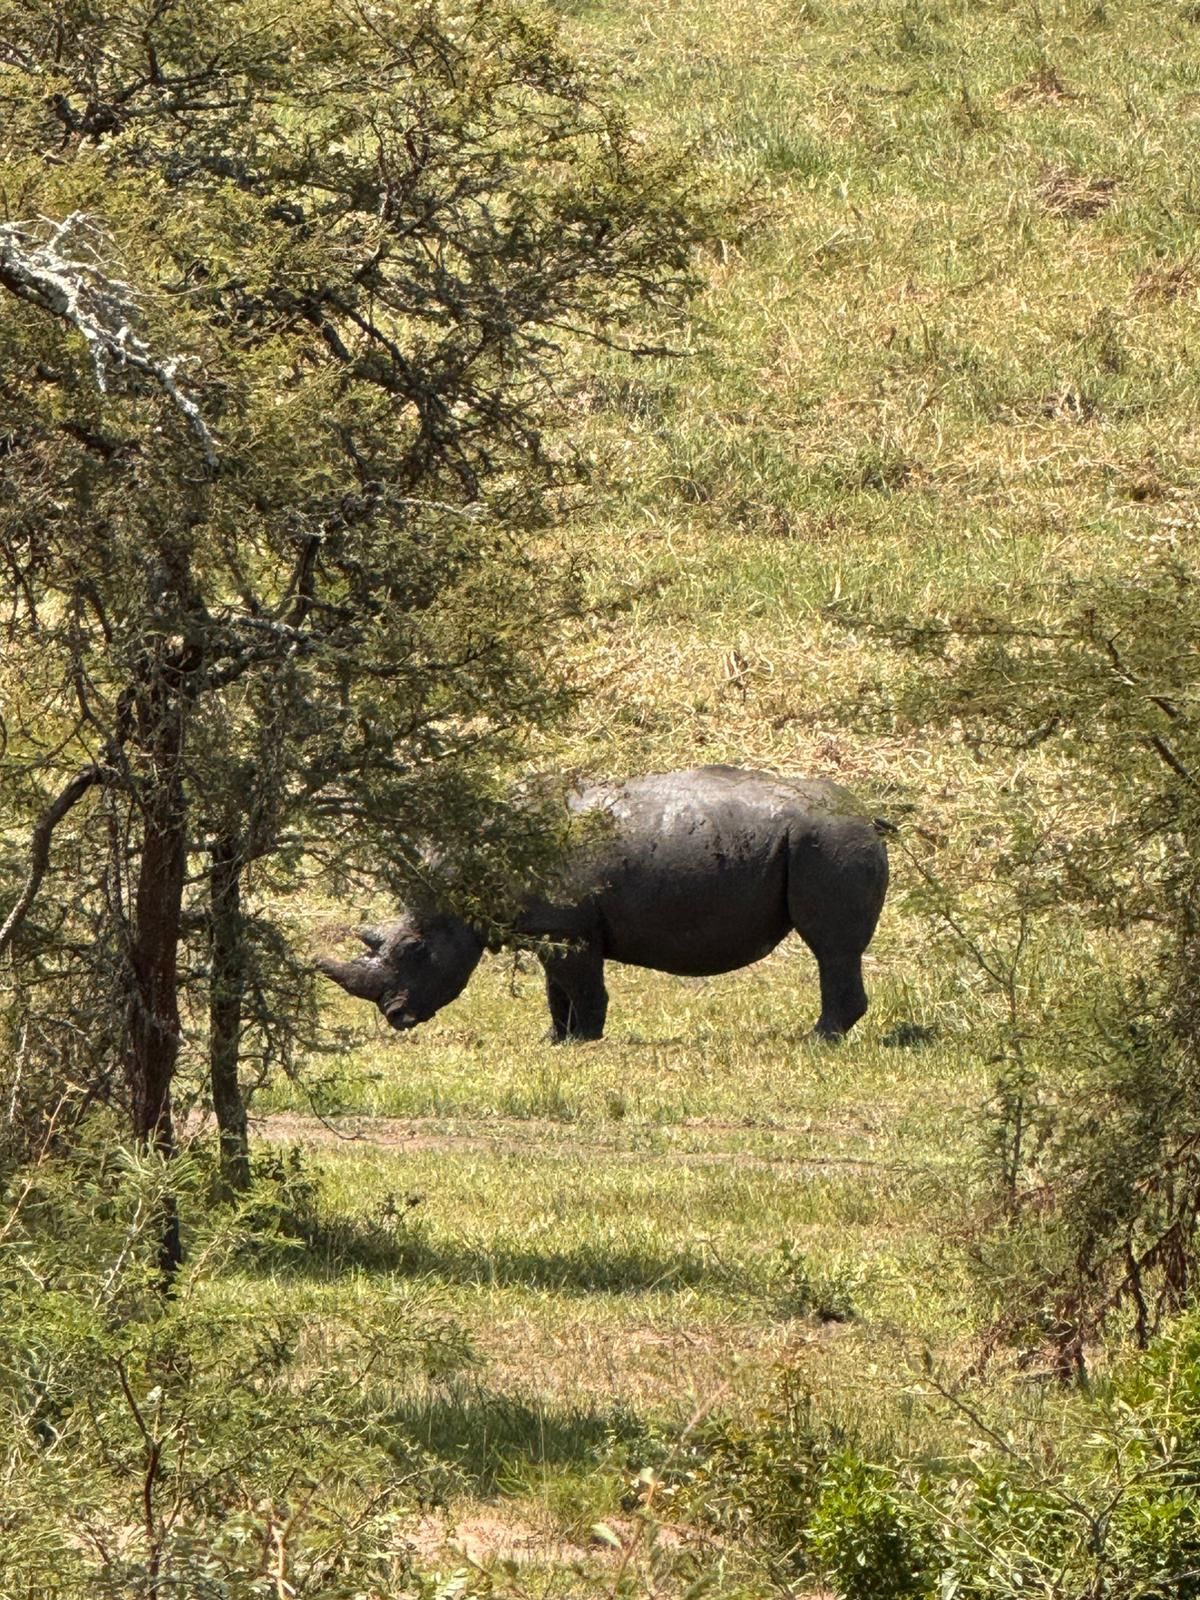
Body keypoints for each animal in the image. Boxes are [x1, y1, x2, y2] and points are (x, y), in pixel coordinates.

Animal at [316, 765, 890, 1043]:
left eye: (414, 950)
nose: (396, 1017)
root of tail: (870, 815)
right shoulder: (552, 927)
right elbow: (557, 989)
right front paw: (554, 1040)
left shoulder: (569, 929)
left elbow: (581, 985)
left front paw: (585, 1042)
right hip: (829, 837)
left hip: (828, 838)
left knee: (831, 948)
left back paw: (817, 1041)